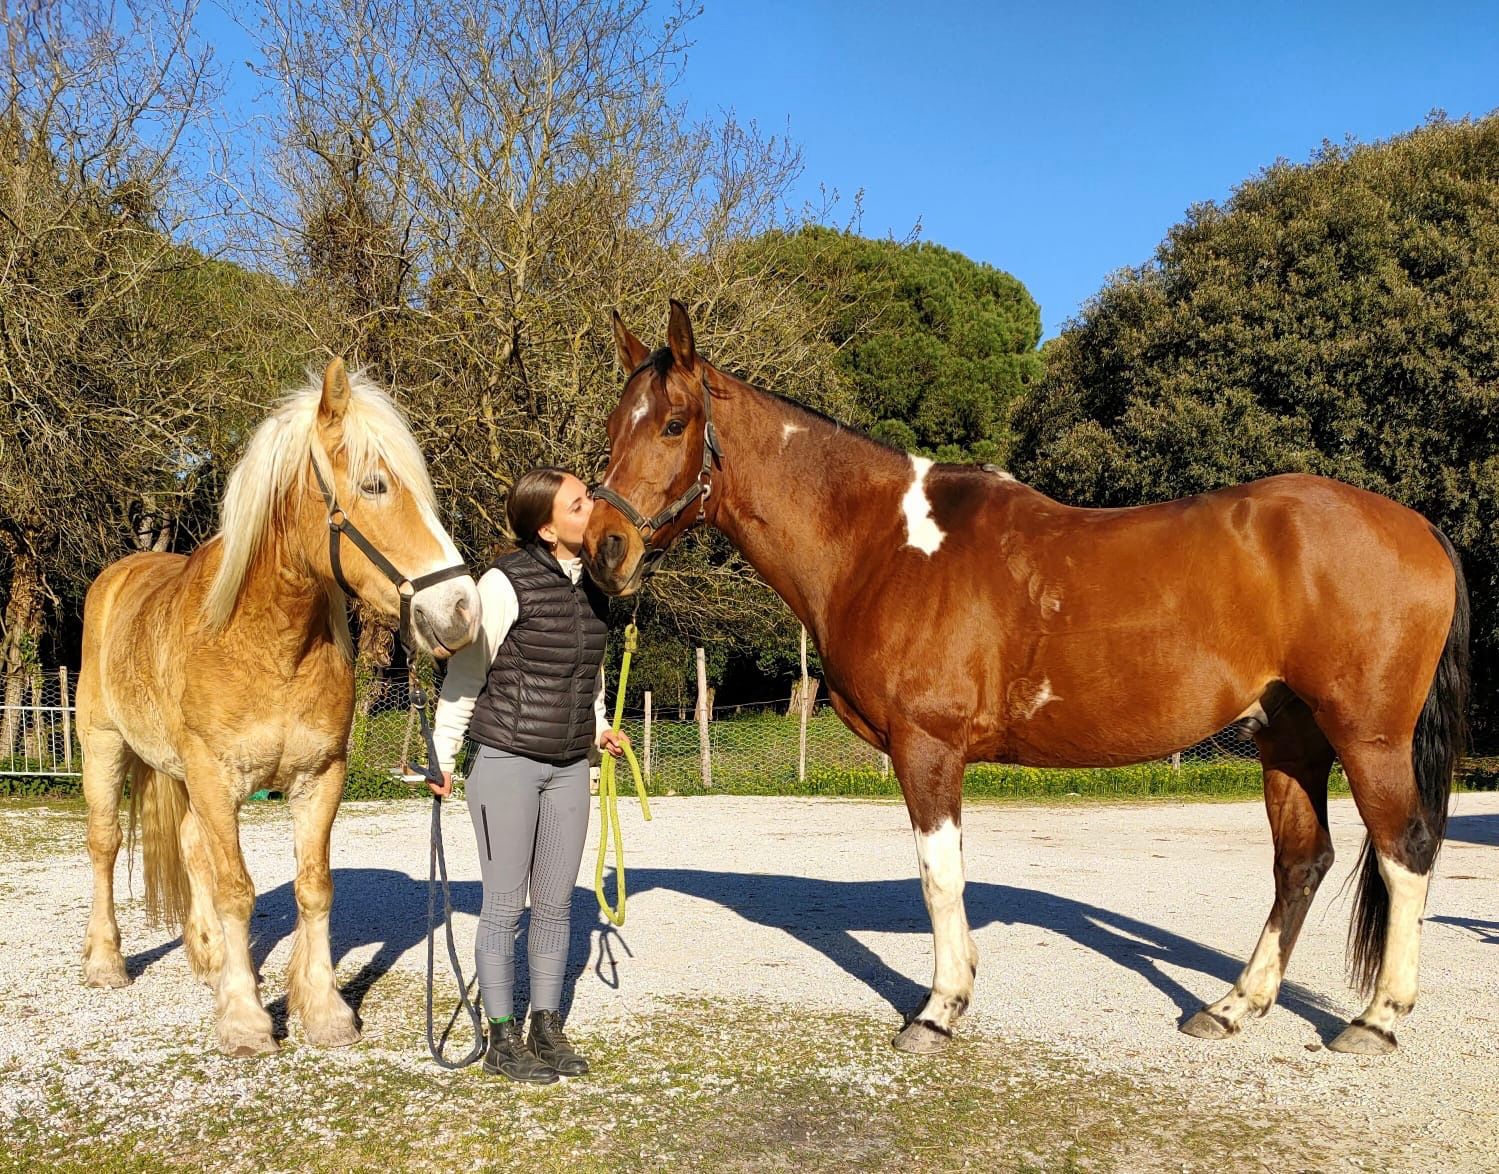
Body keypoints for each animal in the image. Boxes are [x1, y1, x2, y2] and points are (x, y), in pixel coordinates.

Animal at [77, 359, 480, 1057]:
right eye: (375, 485)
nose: (461, 610)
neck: (267, 643)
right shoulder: (215, 778)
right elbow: (237, 891)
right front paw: (244, 1018)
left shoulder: (319, 778)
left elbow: (312, 888)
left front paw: (322, 1010)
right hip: (105, 746)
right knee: (105, 845)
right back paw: (107, 962)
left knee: (191, 848)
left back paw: (209, 955)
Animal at [582, 301, 1469, 1058]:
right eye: (611, 425)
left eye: (673, 423)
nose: (604, 552)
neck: (879, 543)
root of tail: (1417, 527)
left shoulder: (927, 747)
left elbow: (939, 877)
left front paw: (938, 1010)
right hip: (1287, 737)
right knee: (1301, 863)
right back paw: (1230, 1007)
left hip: (1366, 736)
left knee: (1405, 852)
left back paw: (1375, 1021)